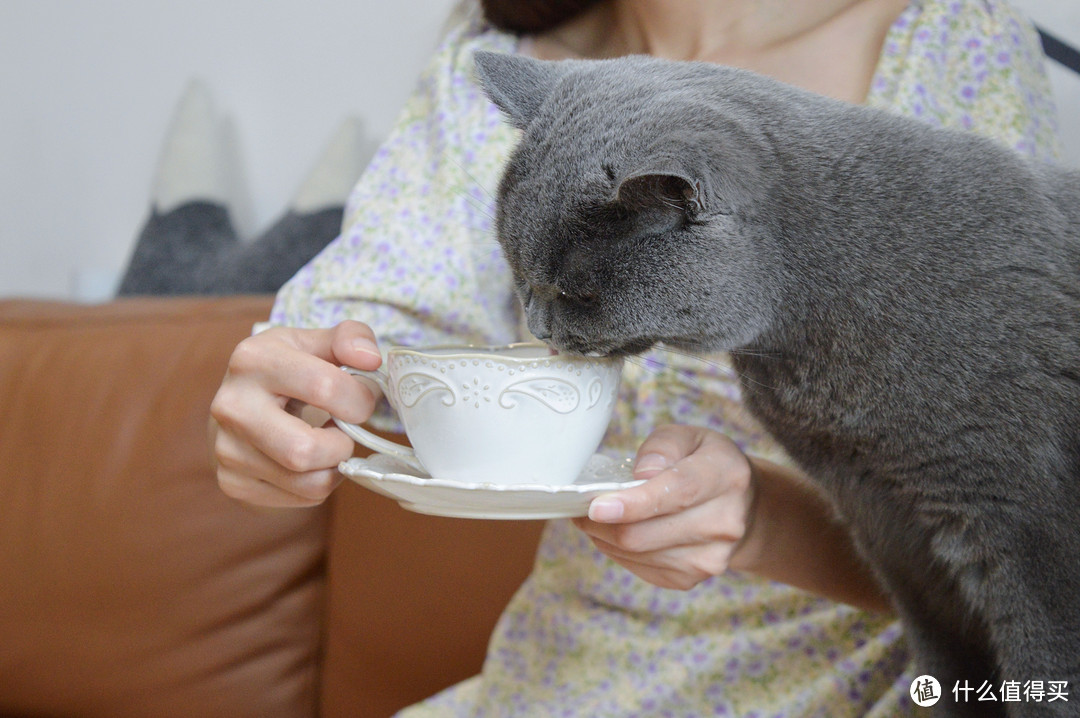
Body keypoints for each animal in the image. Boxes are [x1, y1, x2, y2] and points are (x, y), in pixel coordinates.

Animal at [475, 51, 1080, 716]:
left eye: (579, 295)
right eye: (519, 273)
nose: (538, 325)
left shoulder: (1027, 530)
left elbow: (1045, 665)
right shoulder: (885, 524)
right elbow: (943, 661)